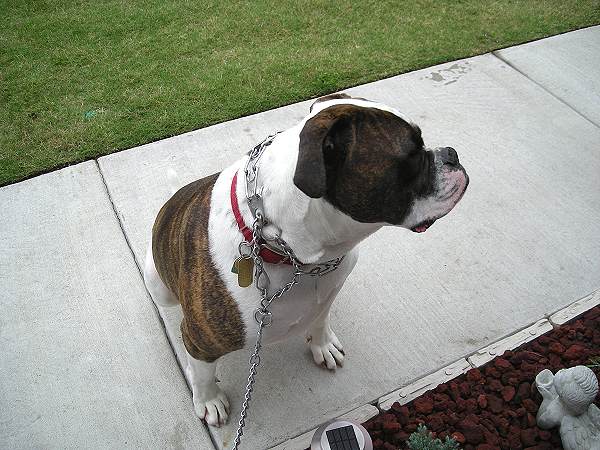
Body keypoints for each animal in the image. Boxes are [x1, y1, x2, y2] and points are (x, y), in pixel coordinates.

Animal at [144, 92, 468, 426]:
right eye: (413, 156)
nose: (452, 153)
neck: (299, 258)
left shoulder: (329, 291)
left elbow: (321, 318)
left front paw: (322, 344)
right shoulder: (199, 340)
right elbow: (203, 374)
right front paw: (209, 399)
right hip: (158, 284)